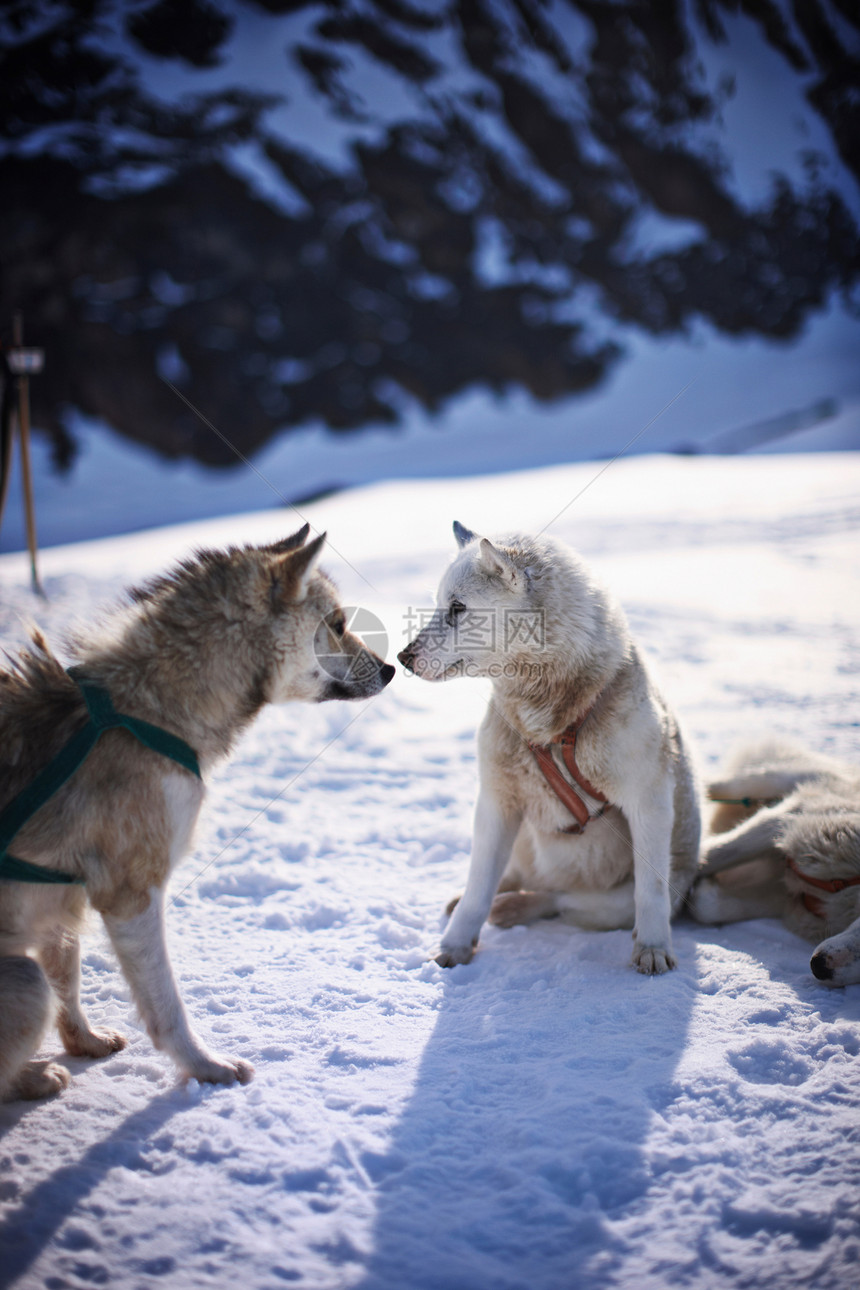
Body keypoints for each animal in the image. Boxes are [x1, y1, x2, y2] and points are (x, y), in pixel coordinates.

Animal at [0, 523, 397, 1099]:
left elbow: (68, 985)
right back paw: (30, 1076)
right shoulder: (130, 893)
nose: (392, 669)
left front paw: (85, 1043)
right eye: (339, 623)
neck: (144, 709)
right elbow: (166, 1006)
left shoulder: (62, 902)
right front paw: (204, 1067)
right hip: (23, 981)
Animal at [691, 737, 860, 985]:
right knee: (733, 783)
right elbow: (717, 853)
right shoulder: (792, 821)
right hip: (781, 779)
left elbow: (710, 908)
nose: (819, 967)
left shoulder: (790, 896)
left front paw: (702, 890)